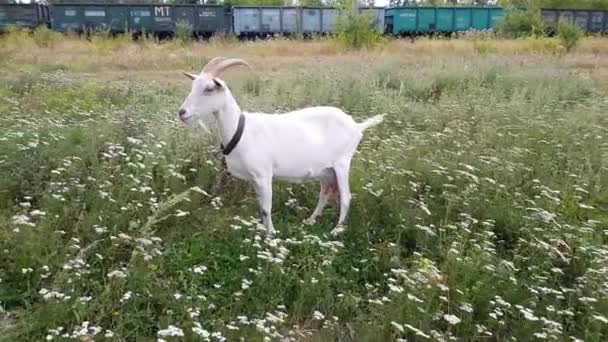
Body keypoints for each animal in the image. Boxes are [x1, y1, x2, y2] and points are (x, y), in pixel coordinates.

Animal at [178, 56, 384, 238]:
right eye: (192, 86)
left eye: (209, 89)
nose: (182, 112)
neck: (241, 130)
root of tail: (356, 126)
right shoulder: (255, 179)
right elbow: (261, 208)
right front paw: (264, 232)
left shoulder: (263, 175)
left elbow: (266, 209)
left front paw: (271, 236)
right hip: (326, 170)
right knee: (325, 193)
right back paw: (310, 220)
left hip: (342, 163)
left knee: (346, 197)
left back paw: (336, 230)